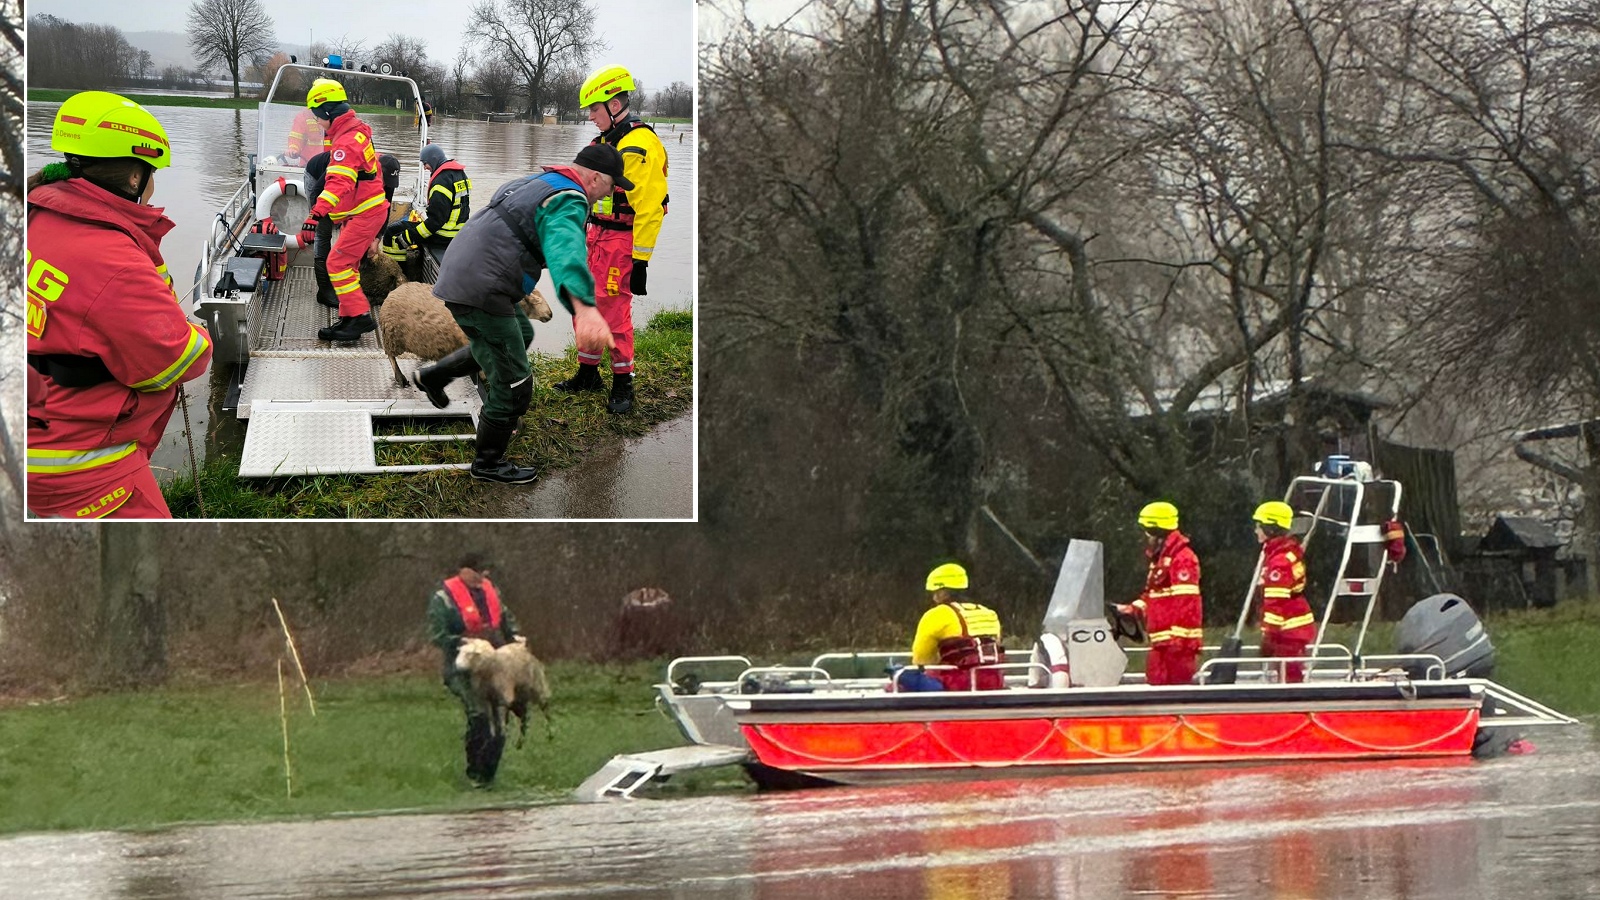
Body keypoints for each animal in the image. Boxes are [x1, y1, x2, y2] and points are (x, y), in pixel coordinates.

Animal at [377, 280, 553, 385]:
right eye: (533, 301)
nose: (550, 314)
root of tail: (395, 291)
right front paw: (483, 376)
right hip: (392, 336)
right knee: (390, 355)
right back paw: (400, 377)